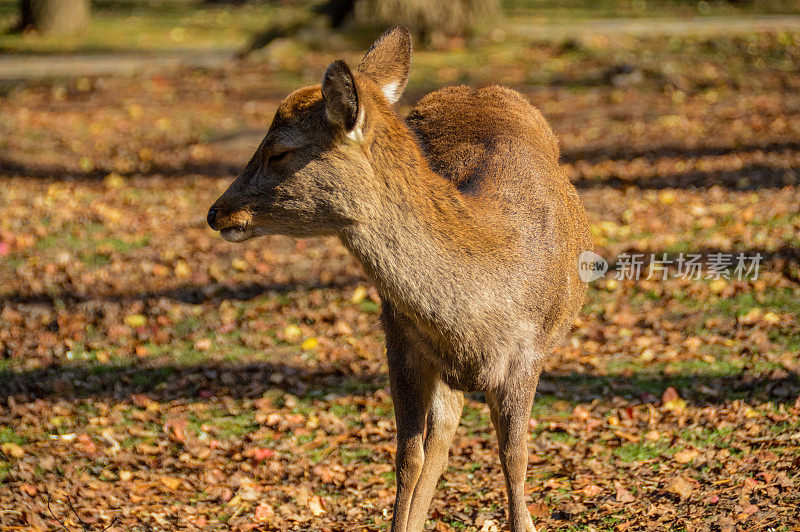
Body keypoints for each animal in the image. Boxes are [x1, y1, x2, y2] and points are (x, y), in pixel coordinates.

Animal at [208, 26, 592, 532]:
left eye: (280, 151)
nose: (216, 211)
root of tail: (478, 89)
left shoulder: (527, 356)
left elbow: (515, 457)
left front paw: (524, 521)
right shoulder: (401, 342)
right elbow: (408, 456)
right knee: (441, 436)